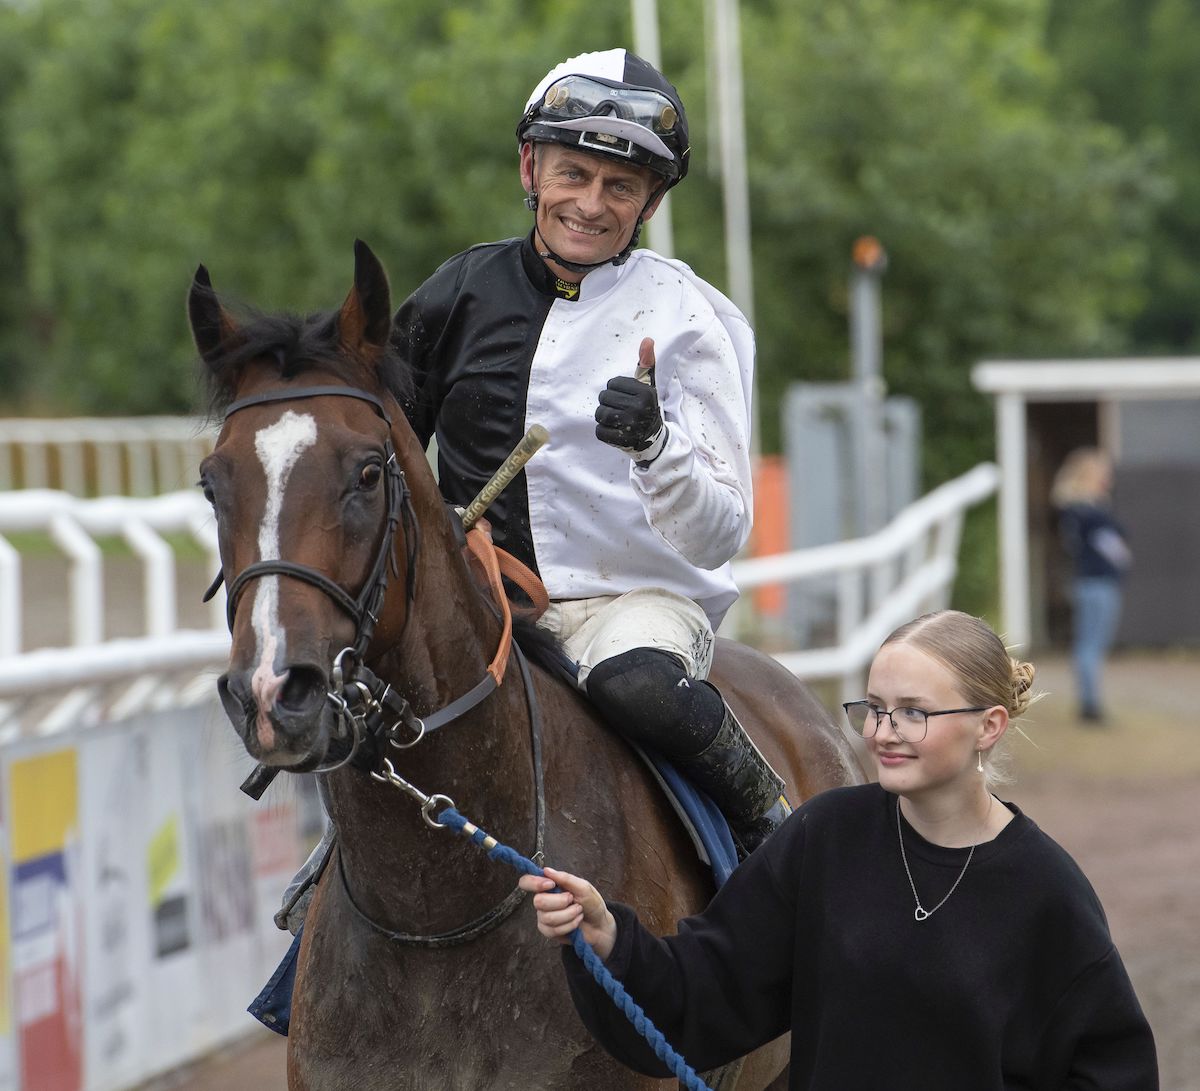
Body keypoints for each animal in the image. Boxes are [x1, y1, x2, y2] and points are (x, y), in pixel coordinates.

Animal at [189, 240, 864, 1089]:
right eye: (212, 483)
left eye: (368, 471)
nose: (276, 691)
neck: (441, 909)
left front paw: (640, 420)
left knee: (646, 683)